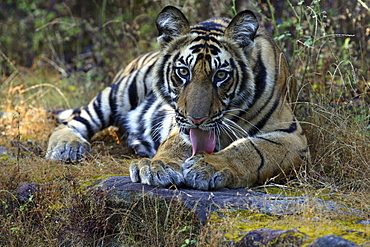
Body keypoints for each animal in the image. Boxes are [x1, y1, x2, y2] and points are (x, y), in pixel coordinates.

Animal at [45, 6, 310, 191]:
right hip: (122, 91)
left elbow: (251, 151)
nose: (197, 119)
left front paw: (208, 166)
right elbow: (173, 144)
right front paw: (157, 166)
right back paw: (67, 147)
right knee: (74, 120)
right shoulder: (180, 124)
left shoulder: (292, 136)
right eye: (183, 72)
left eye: (221, 75)